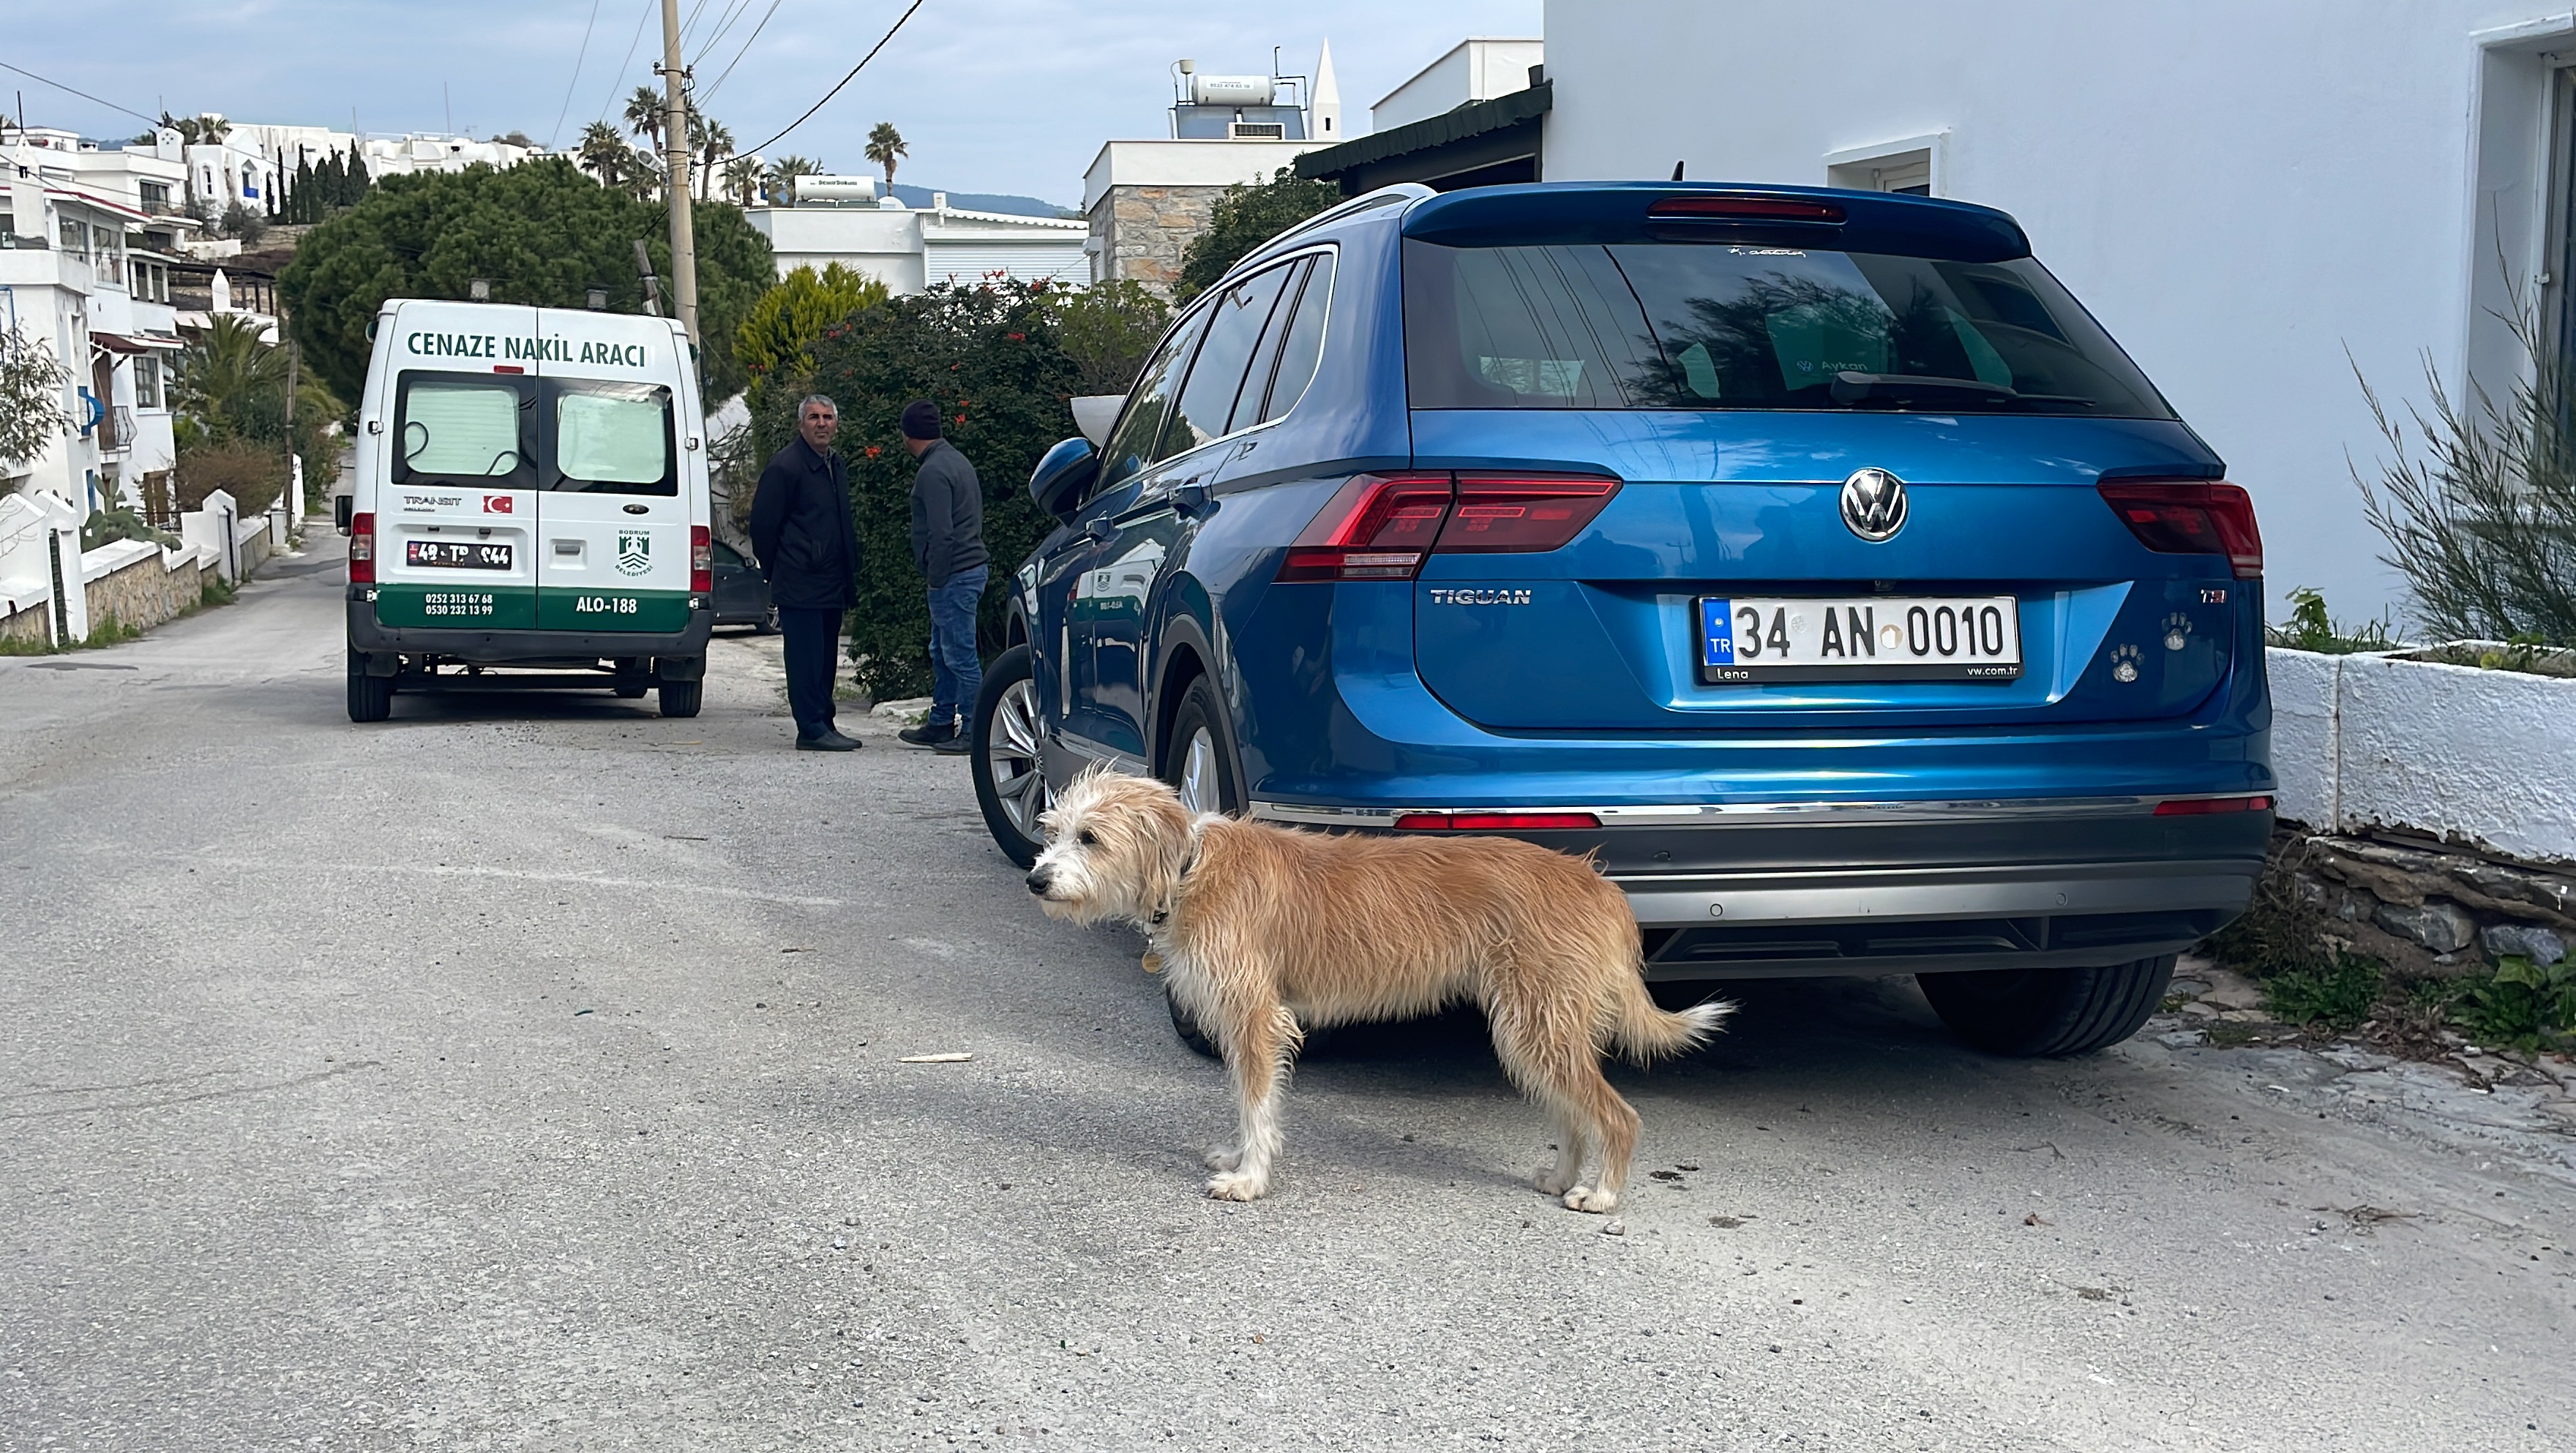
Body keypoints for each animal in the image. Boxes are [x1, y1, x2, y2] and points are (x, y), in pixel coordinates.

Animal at [1025, 778, 1731, 1211]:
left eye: (1090, 838)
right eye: (1054, 831)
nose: (1036, 880)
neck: (1190, 867)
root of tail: (1600, 884)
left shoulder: (1256, 1018)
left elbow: (1257, 1102)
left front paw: (1251, 1179)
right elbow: (1247, 1100)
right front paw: (1240, 1157)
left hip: (1538, 1025)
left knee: (1617, 1114)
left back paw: (1602, 1194)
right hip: (1537, 1029)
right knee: (1574, 1111)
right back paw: (1561, 1176)